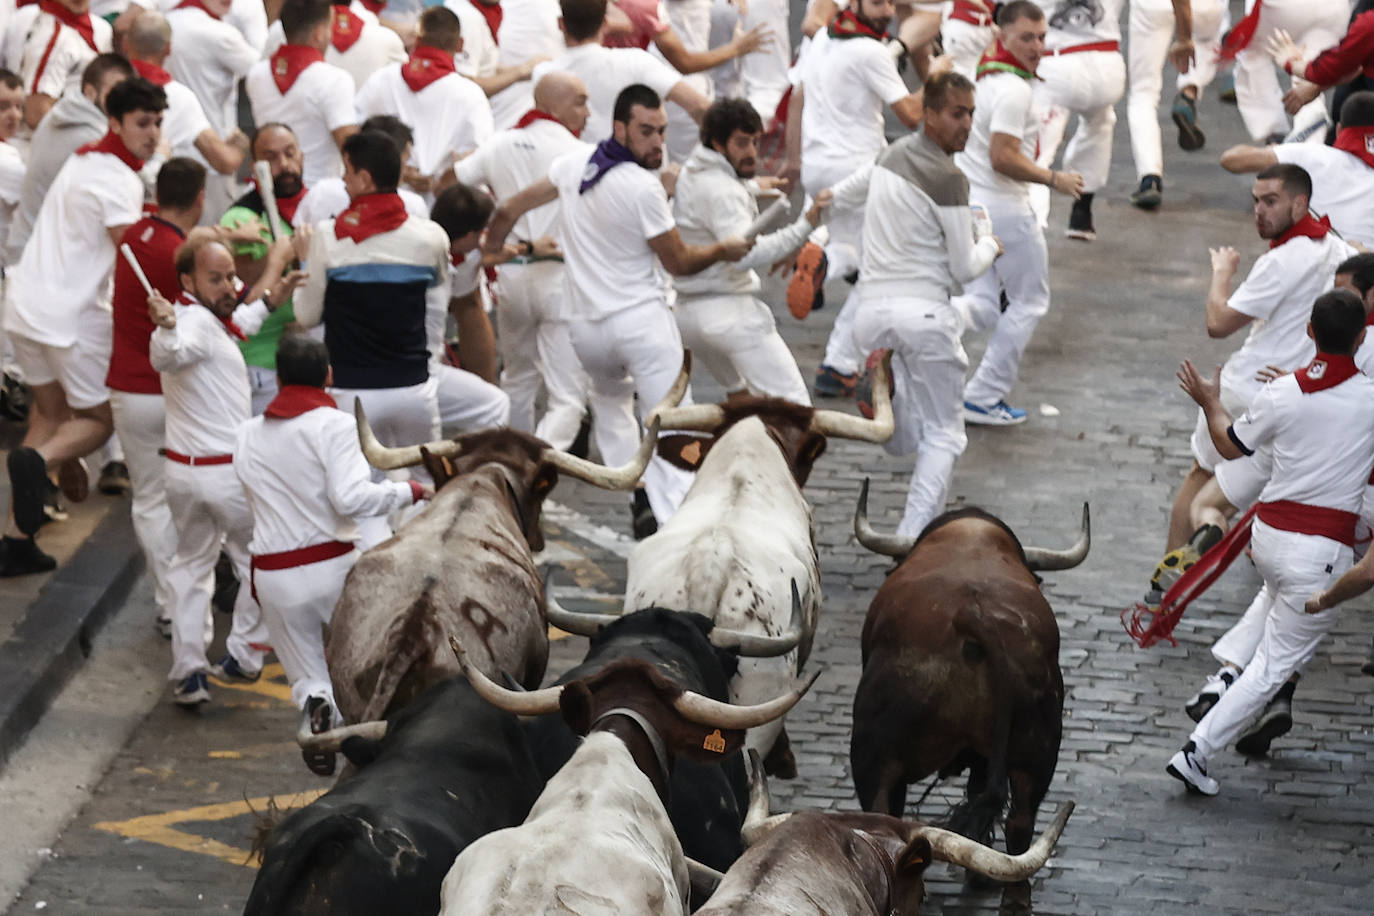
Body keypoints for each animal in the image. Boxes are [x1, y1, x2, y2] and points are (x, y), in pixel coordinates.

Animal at [846, 483, 1082, 911]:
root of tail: (975, 616)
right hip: (1036, 748)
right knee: (1020, 822)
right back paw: (1012, 899)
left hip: (875, 750)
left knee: (882, 811)